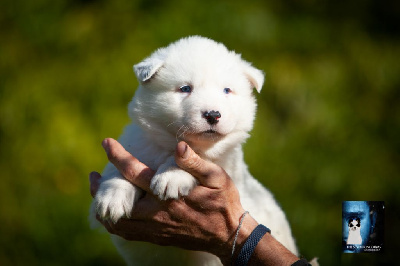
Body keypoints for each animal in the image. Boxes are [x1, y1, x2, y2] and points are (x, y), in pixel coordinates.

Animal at [90, 36, 296, 264]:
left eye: (226, 90)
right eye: (185, 88)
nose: (213, 114)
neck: (172, 144)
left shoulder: (224, 165)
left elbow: (194, 158)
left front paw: (172, 176)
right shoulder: (137, 145)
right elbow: (120, 169)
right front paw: (112, 196)